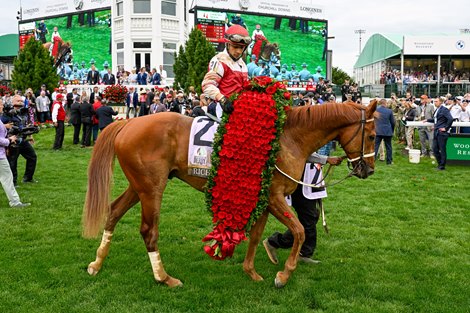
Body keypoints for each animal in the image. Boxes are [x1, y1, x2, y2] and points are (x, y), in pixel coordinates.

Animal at [82, 100, 376, 288]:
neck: (288, 138)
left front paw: (251, 271)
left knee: (114, 211)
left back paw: (96, 263)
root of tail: (127, 123)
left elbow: (257, 235)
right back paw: (164, 277)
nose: (369, 169)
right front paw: (283, 275)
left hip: (139, 186)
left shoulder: (264, 199)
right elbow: (300, 231)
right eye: (373, 135)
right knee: (148, 231)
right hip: (151, 188)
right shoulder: (275, 197)